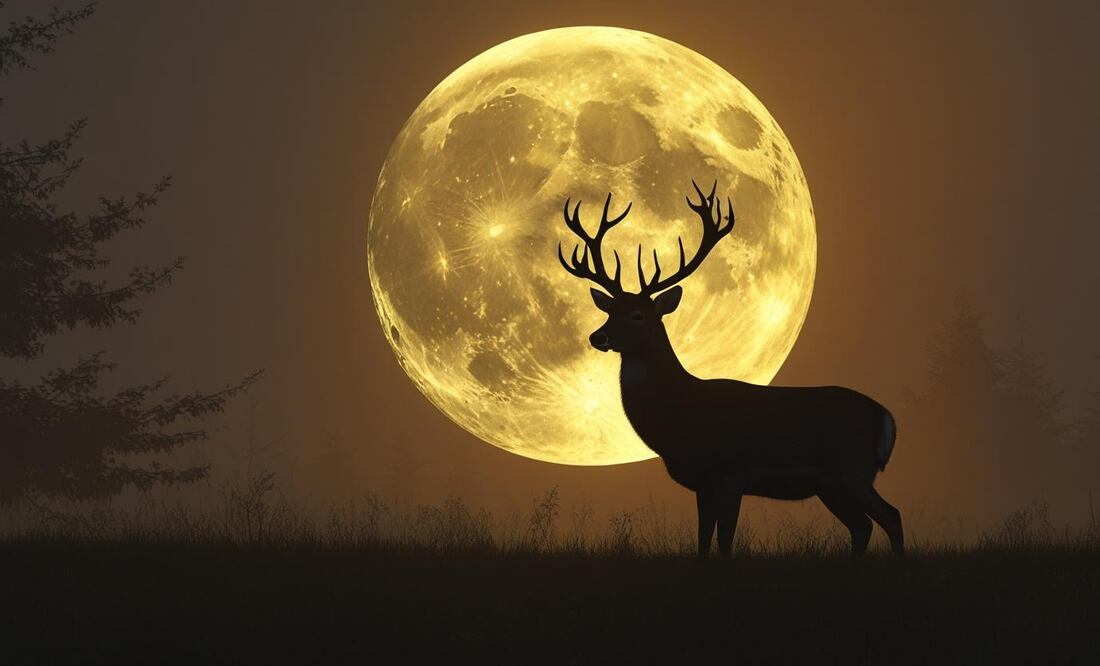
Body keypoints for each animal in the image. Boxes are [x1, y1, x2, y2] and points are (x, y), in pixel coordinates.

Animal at [557, 181, 904, 559]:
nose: (598, 336)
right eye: (609, 311)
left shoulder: (729, 472)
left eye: (638, 315)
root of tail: (885, 416)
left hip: (850, 467)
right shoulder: (702, 483)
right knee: (863, 525)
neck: (680, 412)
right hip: (832, 484)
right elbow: (703, 540)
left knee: (891, 515)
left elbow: (724, 542)